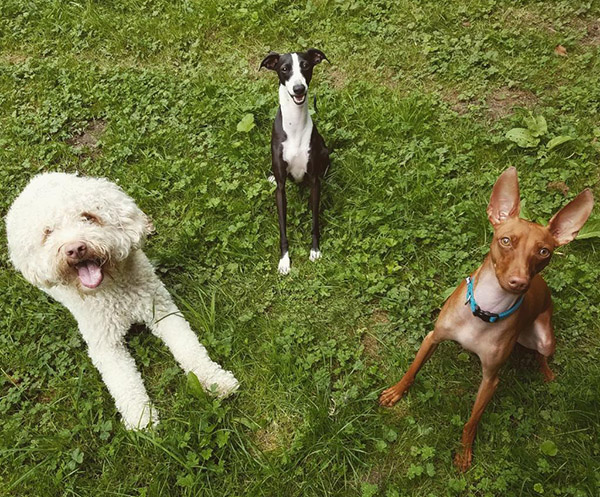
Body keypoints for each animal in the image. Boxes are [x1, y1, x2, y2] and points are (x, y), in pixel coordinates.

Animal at [5, 172, 239, 428]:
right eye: (48, 232)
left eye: (89, 217)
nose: (75, 248)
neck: (113, 290)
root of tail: (37, 179)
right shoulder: (105, 344)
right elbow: (124, 383)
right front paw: (142, 420)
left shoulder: (162, 310)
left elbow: (190, 348)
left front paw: (215, 380)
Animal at [260, 49, 330, 276]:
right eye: (284, 68)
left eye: (306, 65)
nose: (299, 88)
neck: (295, 125)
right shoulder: (281, 189)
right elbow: (282, 227)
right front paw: (284, 260)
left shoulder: (314, 182)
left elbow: (315, 221)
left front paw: (315, 250)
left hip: (324, 151)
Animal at [382, 167, 592, 468]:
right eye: (505, 241)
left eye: (544, 252)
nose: (519, 282)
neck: (486, 310)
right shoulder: (432, 337)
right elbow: (412, 370)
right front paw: (396, 392)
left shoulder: (491, 380)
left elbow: (471, 422)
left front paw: (464, 454)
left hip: (544, 338)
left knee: (543, 355)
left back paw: (547, 373)